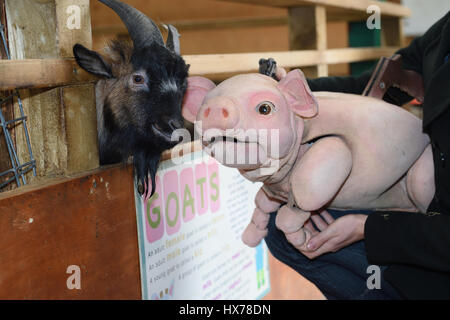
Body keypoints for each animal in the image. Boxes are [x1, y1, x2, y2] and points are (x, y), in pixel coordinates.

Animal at [181, 69, 434, 251]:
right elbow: (262, 203)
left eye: (265, 109)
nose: (214, 107)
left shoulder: (329, 156)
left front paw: (302, 240)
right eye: (203, 105)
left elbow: (298, 204)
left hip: (421, 174)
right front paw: (251, 237)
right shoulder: (274, 189)